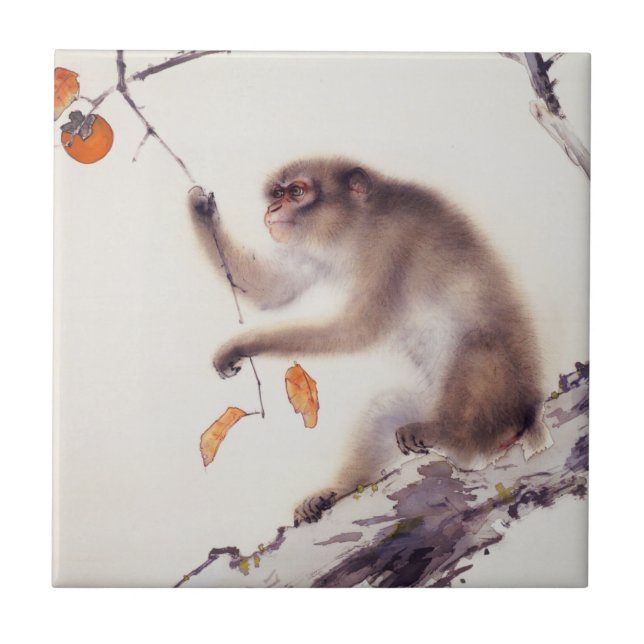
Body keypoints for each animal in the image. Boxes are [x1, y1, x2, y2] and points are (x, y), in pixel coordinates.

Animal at [189, 157, 552, 525]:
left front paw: (244, 343)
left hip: (502, 404)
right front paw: (201, 210)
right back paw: (336, 492)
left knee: (479, 344)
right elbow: (272, 289)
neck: (358, 227)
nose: (273, 209)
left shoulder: (392, 244)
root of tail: (530, 414)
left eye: (296, 192)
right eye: (277, 193)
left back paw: (449, 433)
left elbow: (356, 330)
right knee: (386, 409)